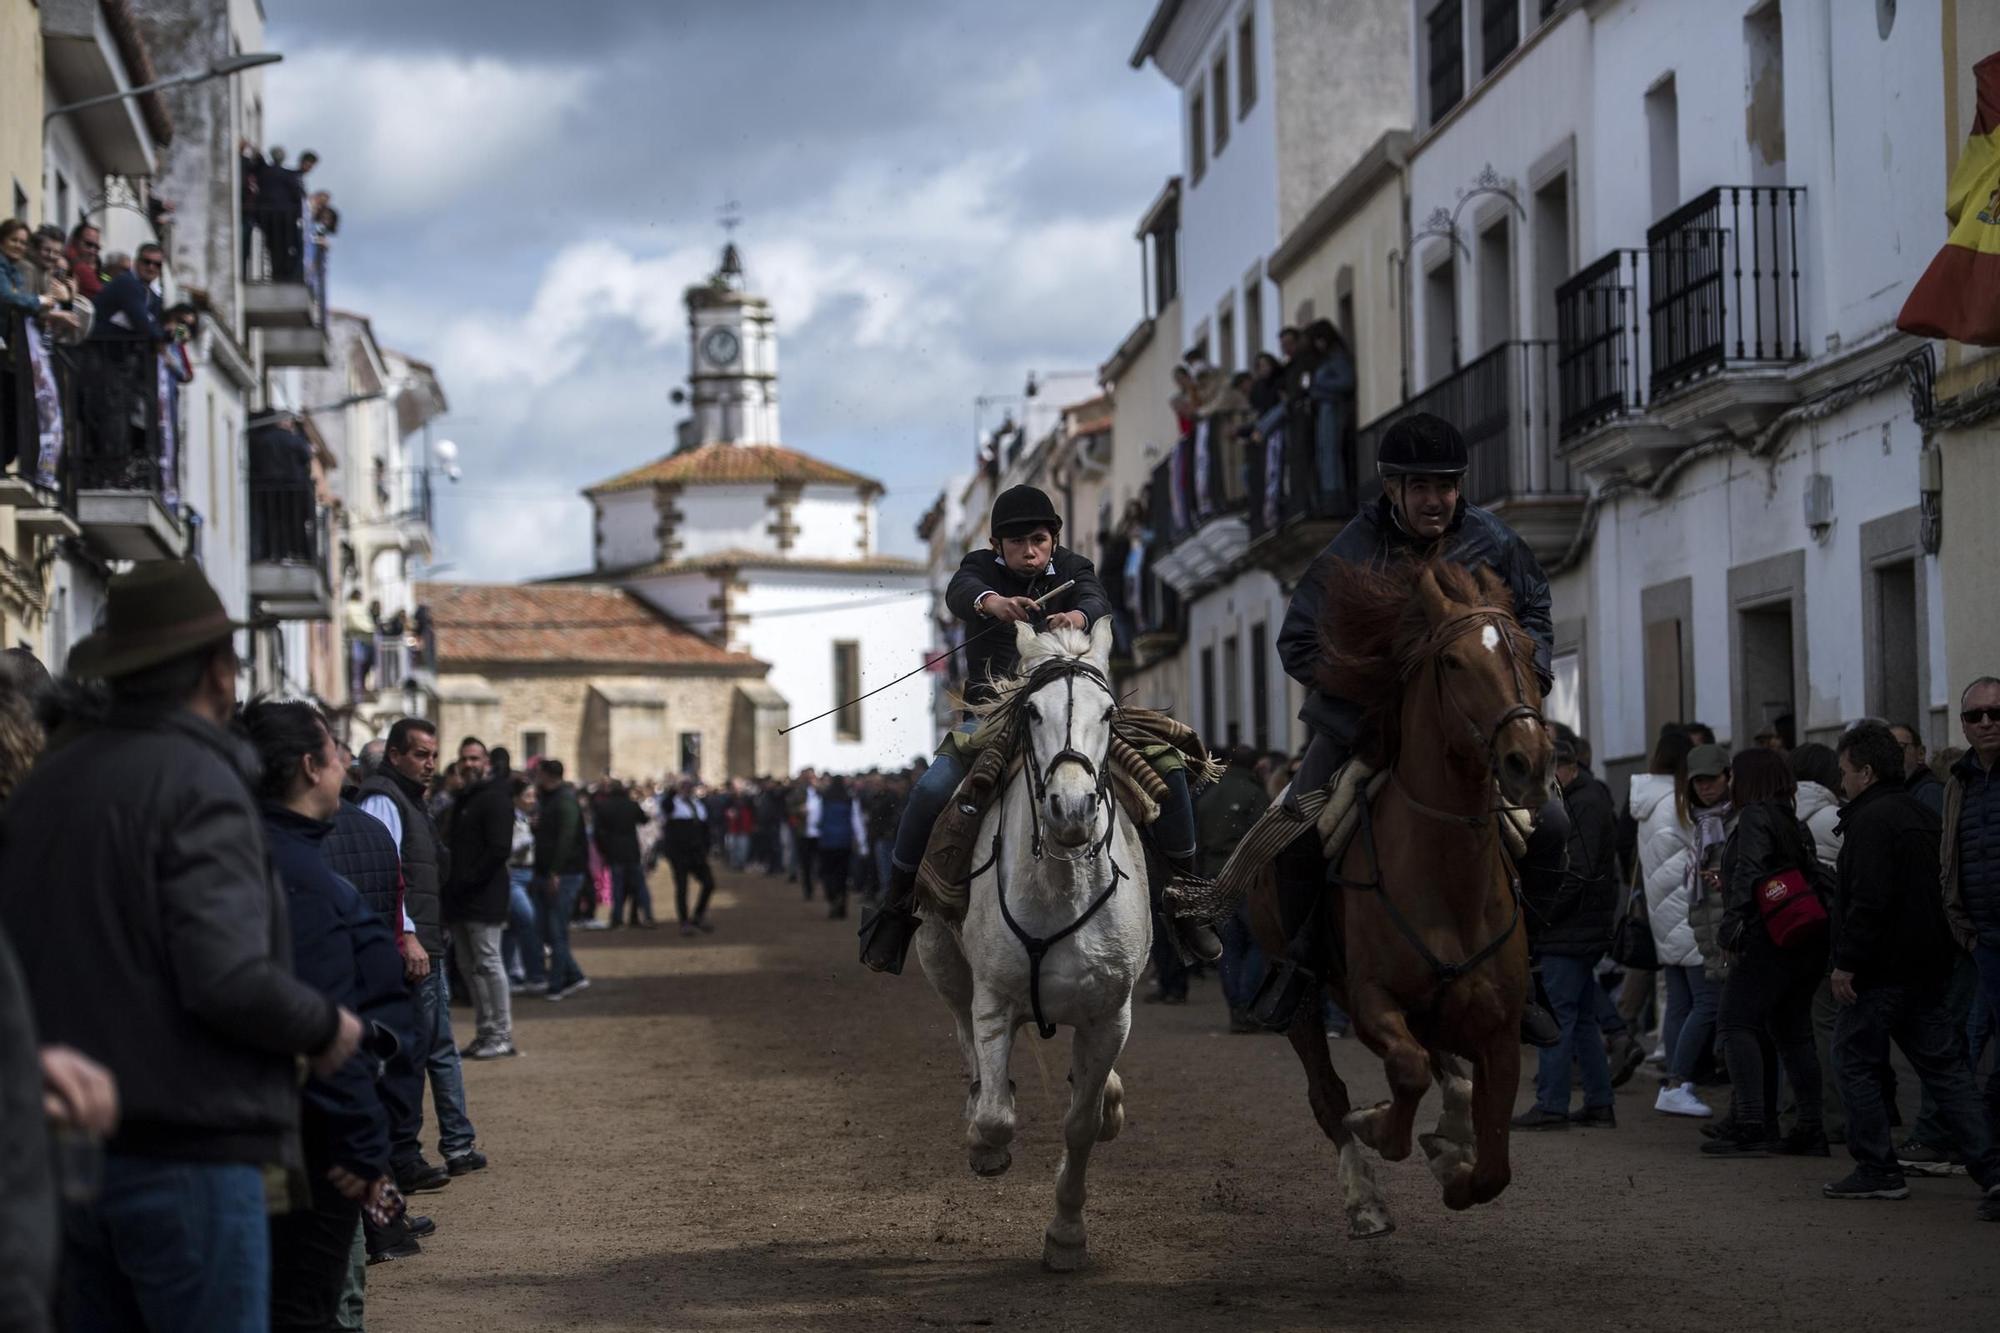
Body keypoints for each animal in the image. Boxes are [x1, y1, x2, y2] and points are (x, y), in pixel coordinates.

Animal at [916, 616, 1152, 1272]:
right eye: (1032, 713)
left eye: (1108, 713)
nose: (1071, 808)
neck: (1060, 884)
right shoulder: (995, 1001)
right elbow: (997, 1115)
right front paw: (986, 1147)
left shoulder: (1109, 1017)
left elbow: (1081, 1123)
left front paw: (1067, 1234)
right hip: (940, 962)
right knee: (964, 1036)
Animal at [1248, 552, 1560, 1232]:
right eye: (1454, 661)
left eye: (1528, 649)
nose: (1529, 761)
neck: (1449, 881)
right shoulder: (1371, 1002)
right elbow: (1405, 1074)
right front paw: (1377, 1126)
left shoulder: (1502, 1032)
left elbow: (1494, 1166)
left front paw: (1456, 1164)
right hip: (1305, 999)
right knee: (1329, 1092)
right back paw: (1365, 1196)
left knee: (1447, 1073)